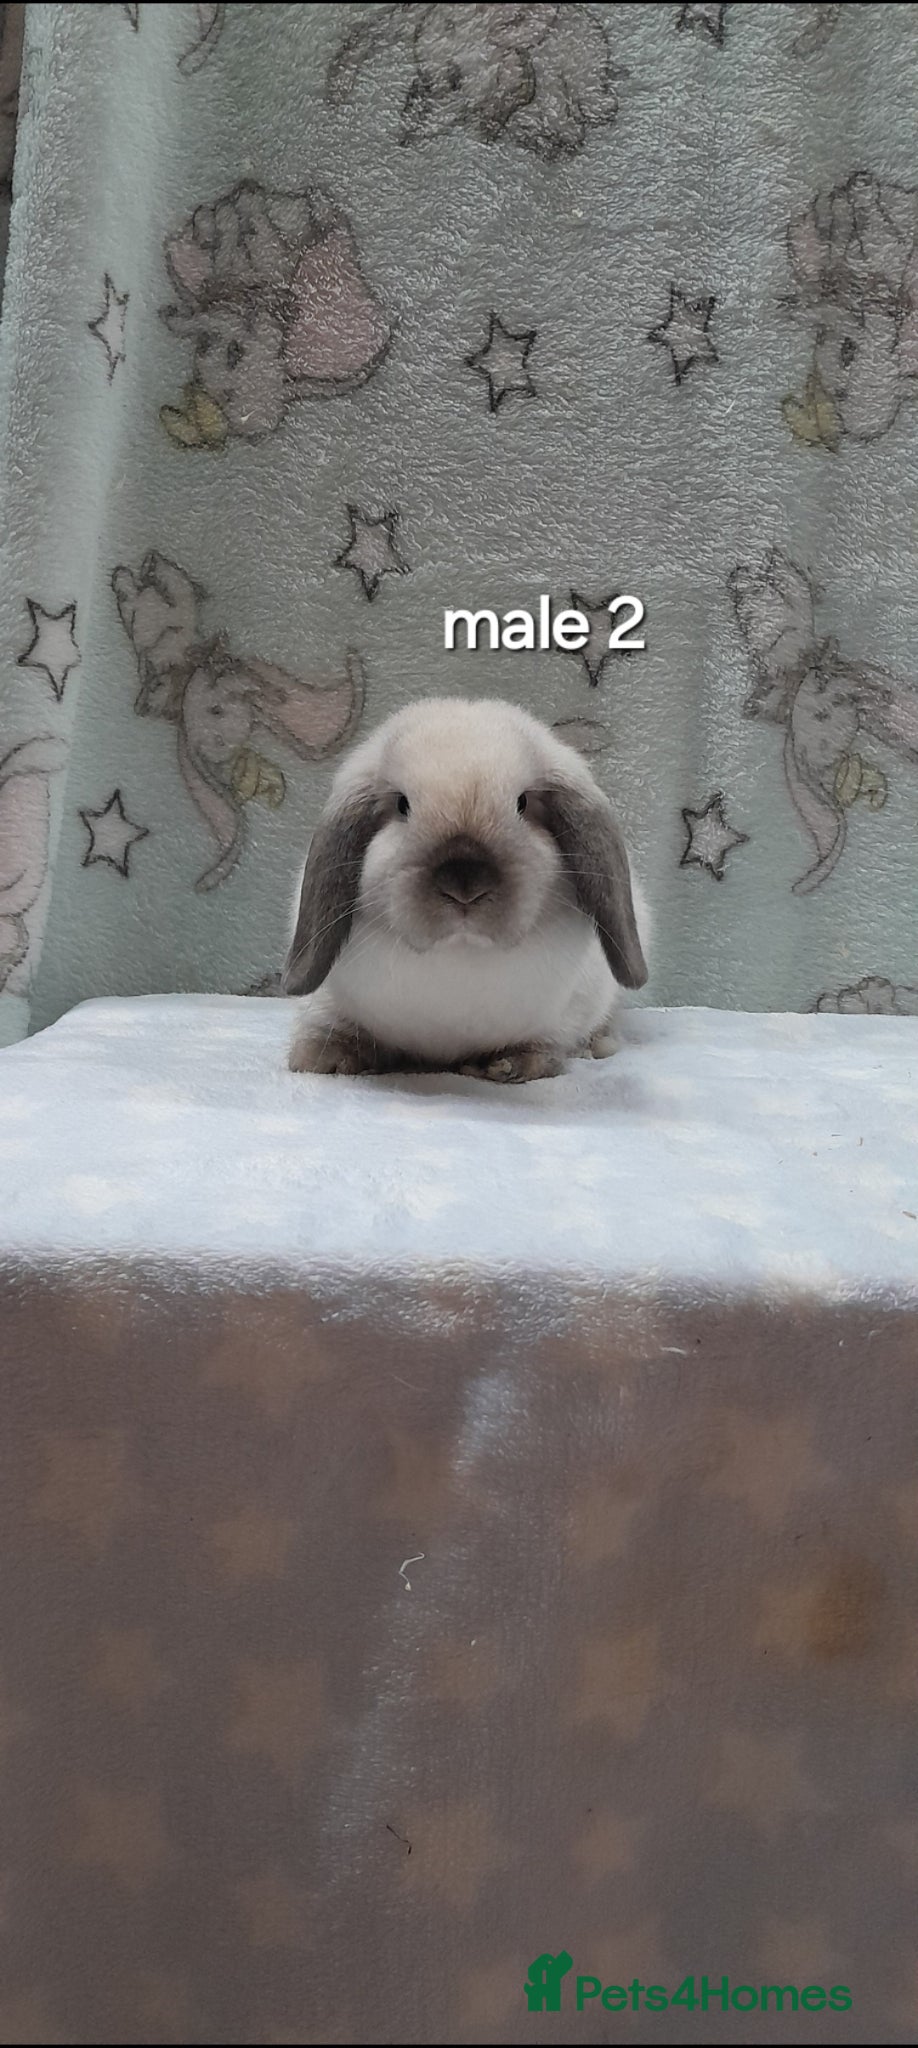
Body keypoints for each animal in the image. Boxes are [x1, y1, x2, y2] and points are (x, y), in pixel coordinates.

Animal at [283, 697, 649, 1082]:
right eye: (402, 804)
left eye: (522, 803)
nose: (465, 884)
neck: (460, 955)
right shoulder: (327, 1000)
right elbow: (332, 1025)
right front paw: (323, 1059)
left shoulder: (564, 1012)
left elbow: (544, 1044)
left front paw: (510, 1065)